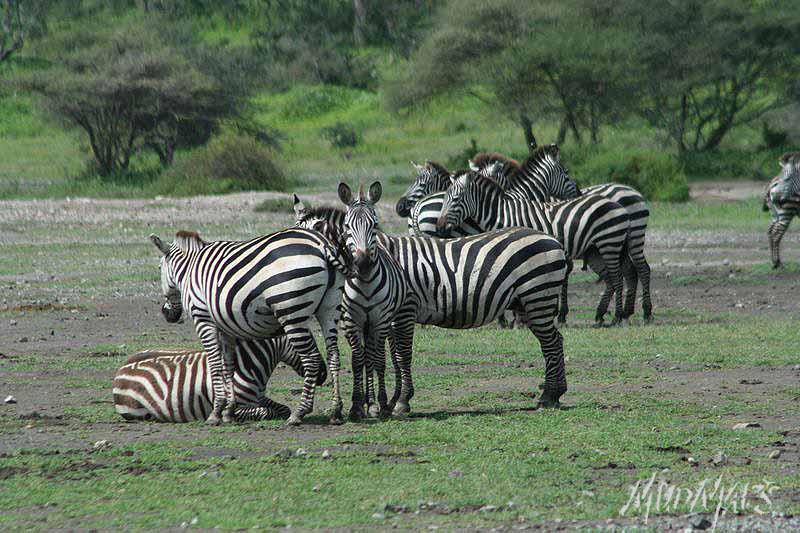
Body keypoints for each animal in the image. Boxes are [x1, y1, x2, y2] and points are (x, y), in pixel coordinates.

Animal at [111, 338, 322, 422]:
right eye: (306, 345)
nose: (322, 375)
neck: (248, 364)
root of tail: (121, 369)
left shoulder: (259, 396)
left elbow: (283, 408)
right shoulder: (239, 404)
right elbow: (265, 411)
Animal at [149, 227, 346, 426]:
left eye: (159, 268)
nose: (166, 314)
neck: (189, 268)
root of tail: (322, 244)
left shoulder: (203, 318)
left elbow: (215, 364)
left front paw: (216, 412)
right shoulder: (225, 326)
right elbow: (228, 365)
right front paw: (229, 410)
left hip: (291, 310)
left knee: (311, 359)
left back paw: (299, 412)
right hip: (330, 309)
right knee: (333, 355)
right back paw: (335, 411)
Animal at [294, 195, 568, 408]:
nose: (360, 265)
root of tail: (552, 239)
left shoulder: (405, 309)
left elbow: (402, 354)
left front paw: (401, 401)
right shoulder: (388, 317)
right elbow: (392, 356)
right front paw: (391, 399)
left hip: (538, 297)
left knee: (551, 343)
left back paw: (548, 396)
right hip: (529, 303)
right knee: (555, 340)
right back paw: (556, 393)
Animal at [336, 183, 418, 420]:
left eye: (374, 225)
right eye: (347, 226)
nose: (363, 263)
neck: (364, 282)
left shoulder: (379, 320)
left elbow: (378, 360)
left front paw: (376, 404)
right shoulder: (350, 320)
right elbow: (357, 361)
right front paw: (356, 405)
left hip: (387, 321)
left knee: (381, 357)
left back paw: (383, 403)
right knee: (366, 358)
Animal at [438, 170, 632, 324]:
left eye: (455, 199)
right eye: (445, 198)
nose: (439, 226)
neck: (502, 215)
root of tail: (618, 205)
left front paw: (517, 319)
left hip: (609, 243)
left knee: (617, 278)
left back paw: (618, 317)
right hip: (594, 250)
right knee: (609, 279)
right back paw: (600, 315)